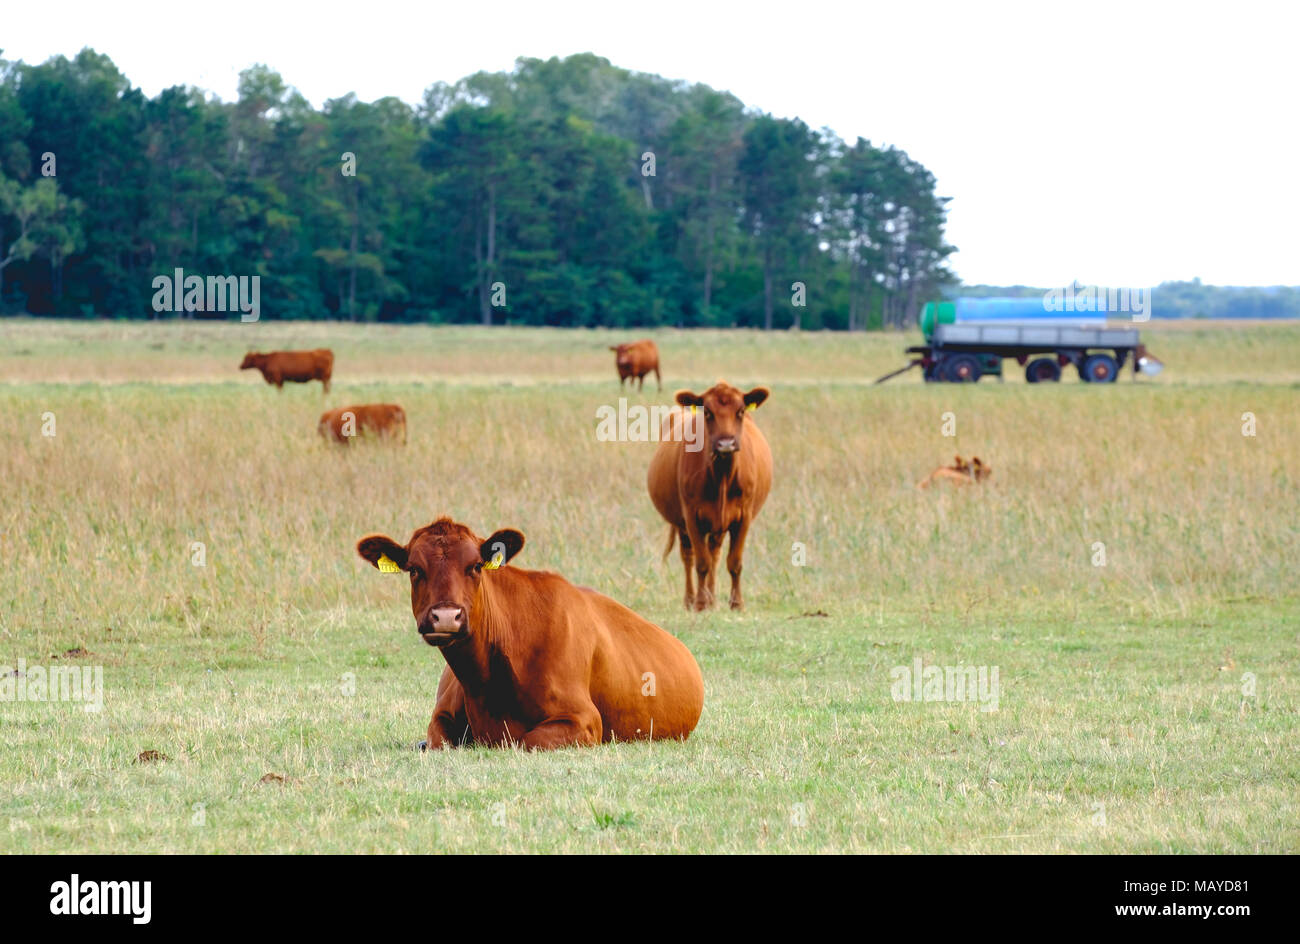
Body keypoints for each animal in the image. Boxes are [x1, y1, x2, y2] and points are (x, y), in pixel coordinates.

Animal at [356, 517, 704, 751]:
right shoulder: (441, 717)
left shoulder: (583, 719)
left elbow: (525, 739)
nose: (445, 617)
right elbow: (436, 740)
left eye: (475, 566)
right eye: (414, 569)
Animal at [647, 382, 773, 611]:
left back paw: (712, 598)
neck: (722, 475)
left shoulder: (744, 517)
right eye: (707, 412)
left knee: (715, 553)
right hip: (682, 525)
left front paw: (736, 603)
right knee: (688, 556)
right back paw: (691, 599)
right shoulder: (691, 517)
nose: (726, 444)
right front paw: (699, 603)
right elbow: (701, 563)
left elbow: (734, 562)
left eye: (741, 411)